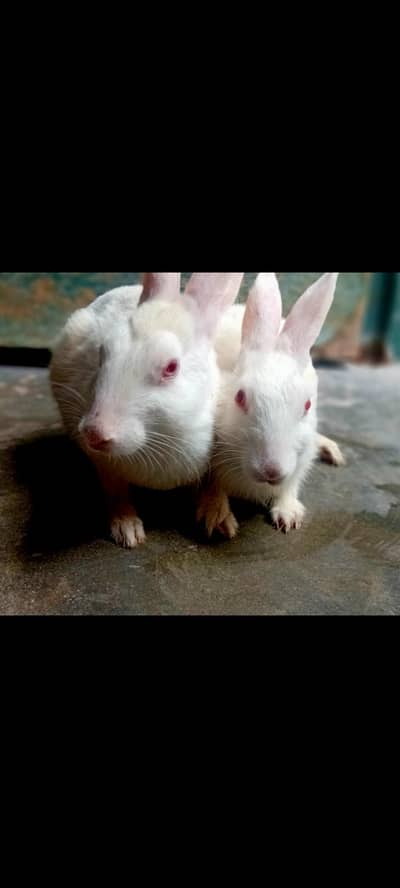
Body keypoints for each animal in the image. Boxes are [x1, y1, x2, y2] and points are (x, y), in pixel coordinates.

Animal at [50, 272, 244, 548]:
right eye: (103, 352)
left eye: (171, 367)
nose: (95, 433)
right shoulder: (105, 464)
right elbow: (115, 491)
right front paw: (127, 530)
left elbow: (215, 485)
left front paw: (219, 520)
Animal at [197, 272, 345, 539]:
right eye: (240, 397)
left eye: (307, 405)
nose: (271, 470)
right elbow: (212, 487)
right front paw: (218, 518)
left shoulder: (300, 462)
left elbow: (290, 488)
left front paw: (288, 515)